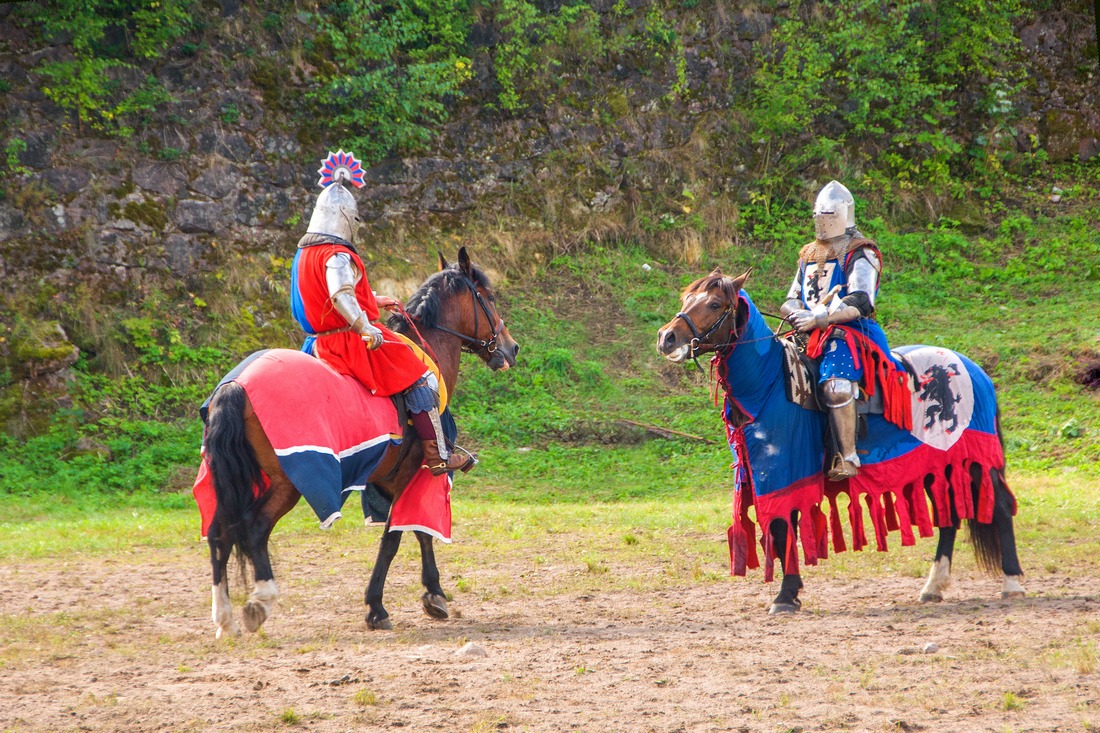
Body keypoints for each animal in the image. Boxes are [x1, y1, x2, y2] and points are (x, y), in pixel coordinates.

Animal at [196, 248, 519, 637]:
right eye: (488, 297)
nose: (511, 348)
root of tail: (235, 387)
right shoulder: (415, 471)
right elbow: (396, 536)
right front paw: (379, 607)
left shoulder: (393, 478)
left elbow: (418, 531)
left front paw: (433, 595)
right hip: (284, 483)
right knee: (255, 530)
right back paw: (260, 602)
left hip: (237, 477)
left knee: (219, 533)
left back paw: (225, 618)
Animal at [656, 269, 1024, 614]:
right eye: (686, 300)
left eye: (715, 304)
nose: (667, 338)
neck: (770, 382)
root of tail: (976, 370)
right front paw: (790, 592)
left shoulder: (785, 470)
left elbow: (782, 526)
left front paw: (786, 595)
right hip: (938, 461)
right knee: (949, 516)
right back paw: (933, 586)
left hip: (973, 457)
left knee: (999, 507)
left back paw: (1012, 582)